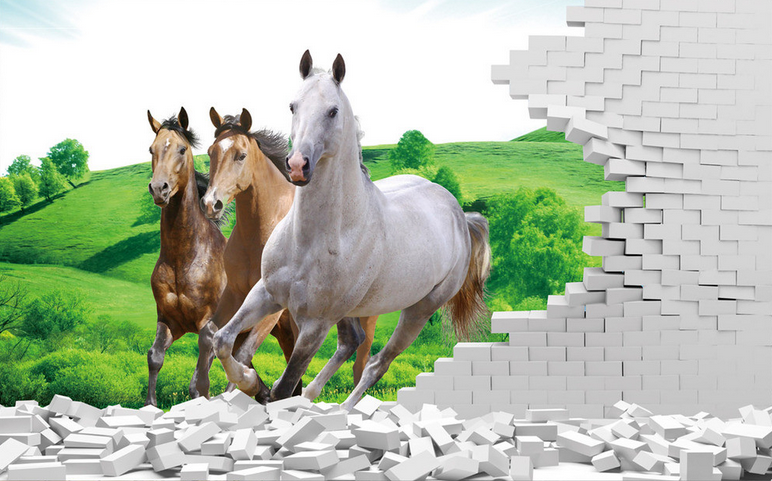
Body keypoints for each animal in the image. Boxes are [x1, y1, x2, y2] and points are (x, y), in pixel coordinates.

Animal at [145, 107, 227, 406]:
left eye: (182, 149)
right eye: (152, 149)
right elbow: (155, 357)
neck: (185, 258)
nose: (159, 188)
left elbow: (200, 381)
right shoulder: (169, 321)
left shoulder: (208, 324)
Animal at [200, 108, 379, 401]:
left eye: (241, 155)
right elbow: (210, 334)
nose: (210, 204)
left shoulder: (275, 306)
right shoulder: (235, 293)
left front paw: (249, 387)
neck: (259, 231)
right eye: (211, 152)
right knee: (349, 339)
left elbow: (244, 351)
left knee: (361, 354)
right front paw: (199, 389)